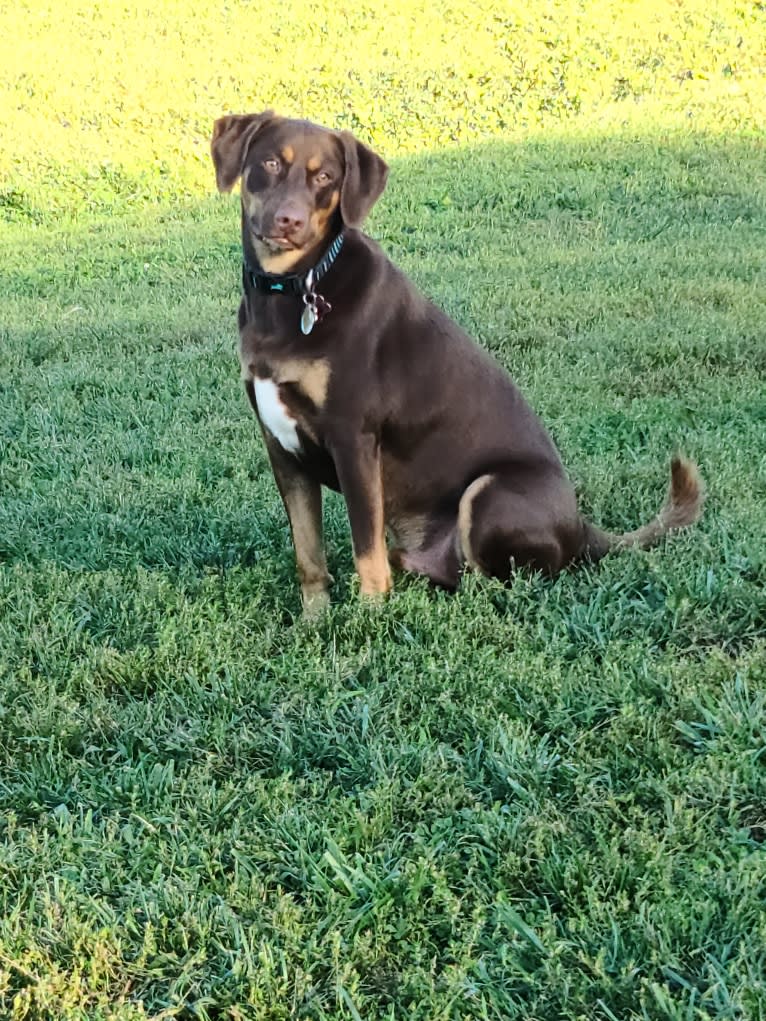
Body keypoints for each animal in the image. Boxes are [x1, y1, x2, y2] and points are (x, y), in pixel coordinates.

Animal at [213, 115, 706, 616]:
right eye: (271, 163)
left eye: (326, 177)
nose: (288, 221)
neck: (296, 289)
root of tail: (582, 529)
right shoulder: (280, 445)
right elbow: (308, 553)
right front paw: (316, 620)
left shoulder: (354, 440)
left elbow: (365, 550)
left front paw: (368, 620)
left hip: (489, 492)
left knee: (505, 582)